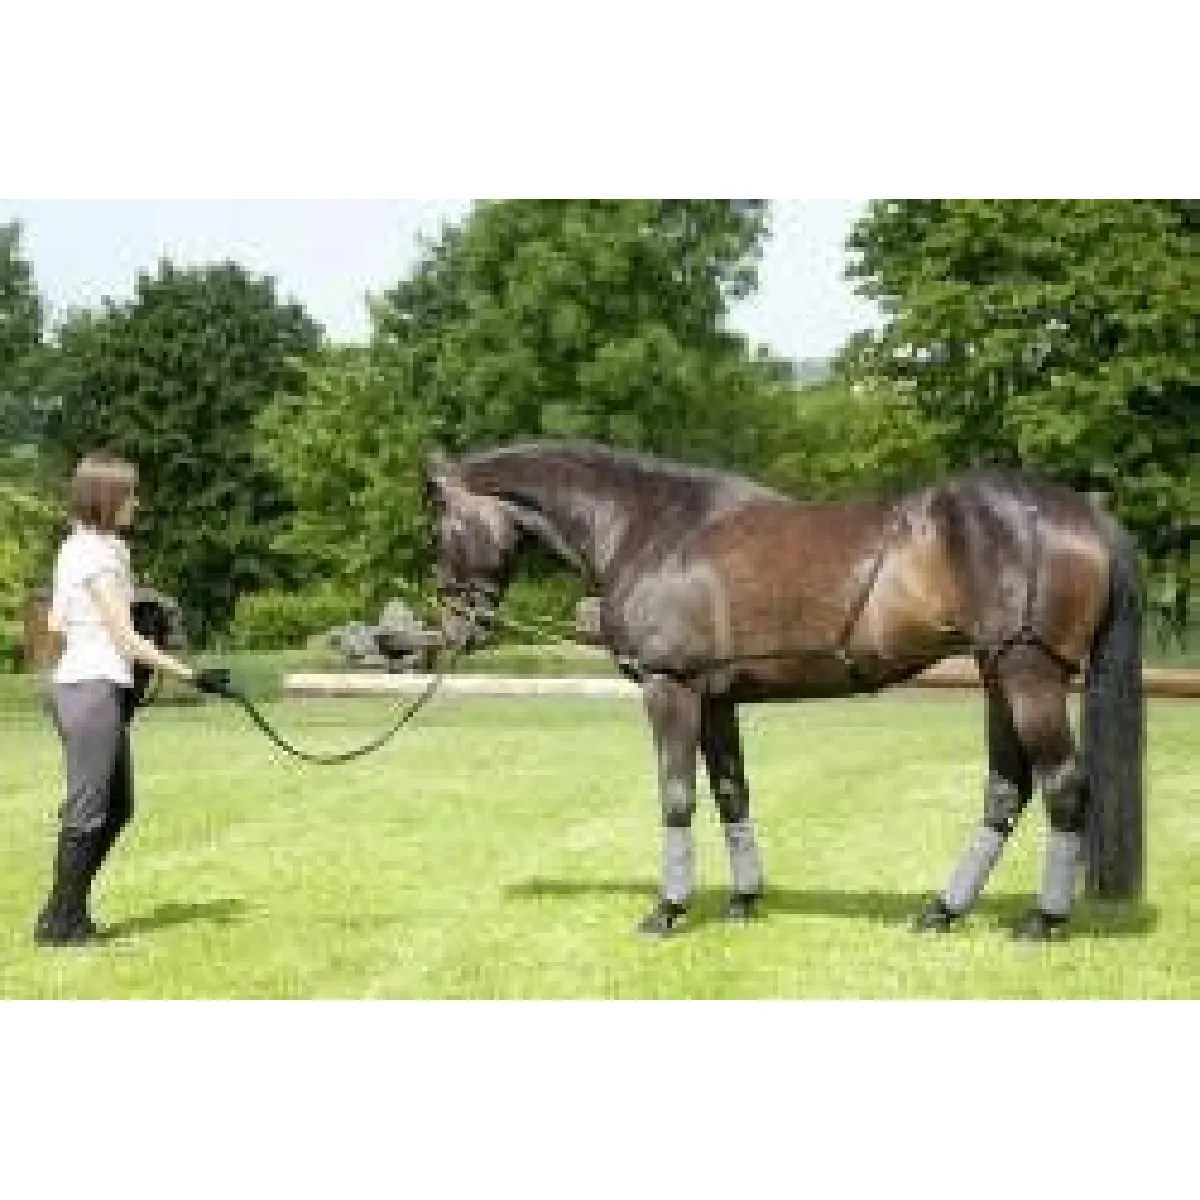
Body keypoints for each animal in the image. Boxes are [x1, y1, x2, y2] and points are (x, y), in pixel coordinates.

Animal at [423, 440, 1145, 941]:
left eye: (439, 528)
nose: (456, 625)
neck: (650, 527)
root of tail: (1081, 512)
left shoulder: (671, 690)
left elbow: (677, 797)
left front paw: (667, 909)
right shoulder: (716, 699)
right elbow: (730, 793)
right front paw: (744, 901)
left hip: (1029, 678)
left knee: (1064, 788)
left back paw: (1043, 920)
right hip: (998, 676)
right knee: (1005, 792)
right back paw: (942, 911)